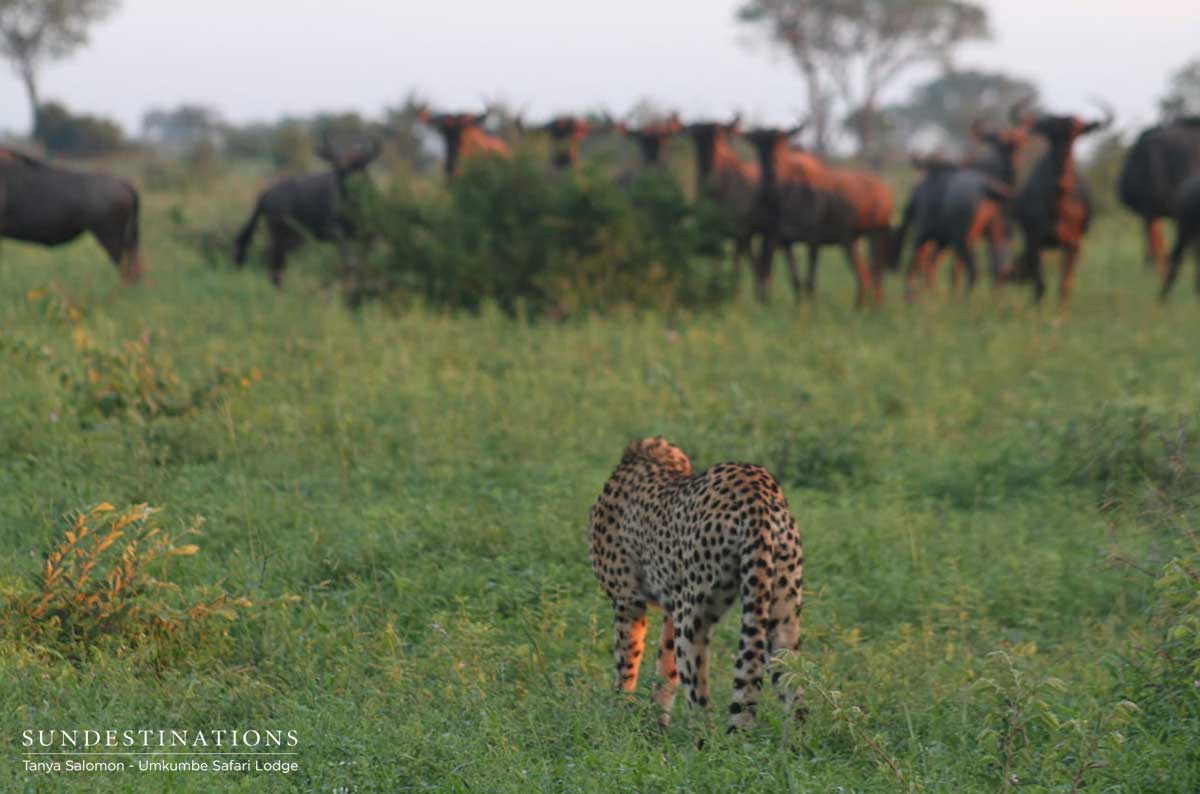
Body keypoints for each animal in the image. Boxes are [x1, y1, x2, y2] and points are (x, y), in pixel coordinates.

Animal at [589, 436, 805, 731]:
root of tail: (759, 490)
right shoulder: (670, 606)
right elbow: (665, 670)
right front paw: (655, 723)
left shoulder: (628, 601)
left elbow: (627, 664)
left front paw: (621, 715)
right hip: (783, 612)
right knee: (796, 693)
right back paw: (799, 741)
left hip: (694, 617)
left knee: (700, 701)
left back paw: (703, 740)